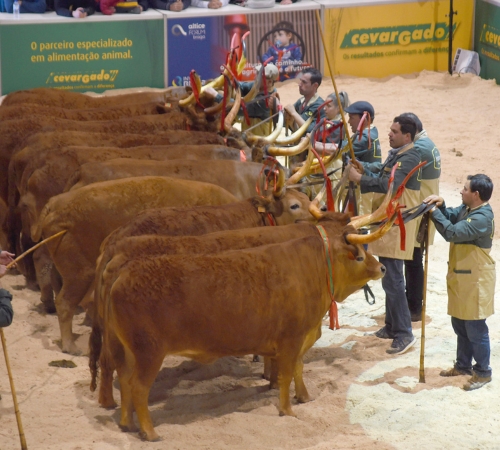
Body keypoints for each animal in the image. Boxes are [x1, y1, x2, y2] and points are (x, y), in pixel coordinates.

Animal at [90, 213, 386, 442]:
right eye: (360, 256)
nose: (382, 267)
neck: (312, 268)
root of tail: (124, 269)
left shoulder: (297, 340)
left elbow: (296, 370)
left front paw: (303, 397)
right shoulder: (291, 339)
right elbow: (287, 374)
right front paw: (288, 410)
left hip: (128, 351)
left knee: (125, 380)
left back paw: (127, 423)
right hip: (148, 353)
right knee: (138, 387)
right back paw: (150, 432)